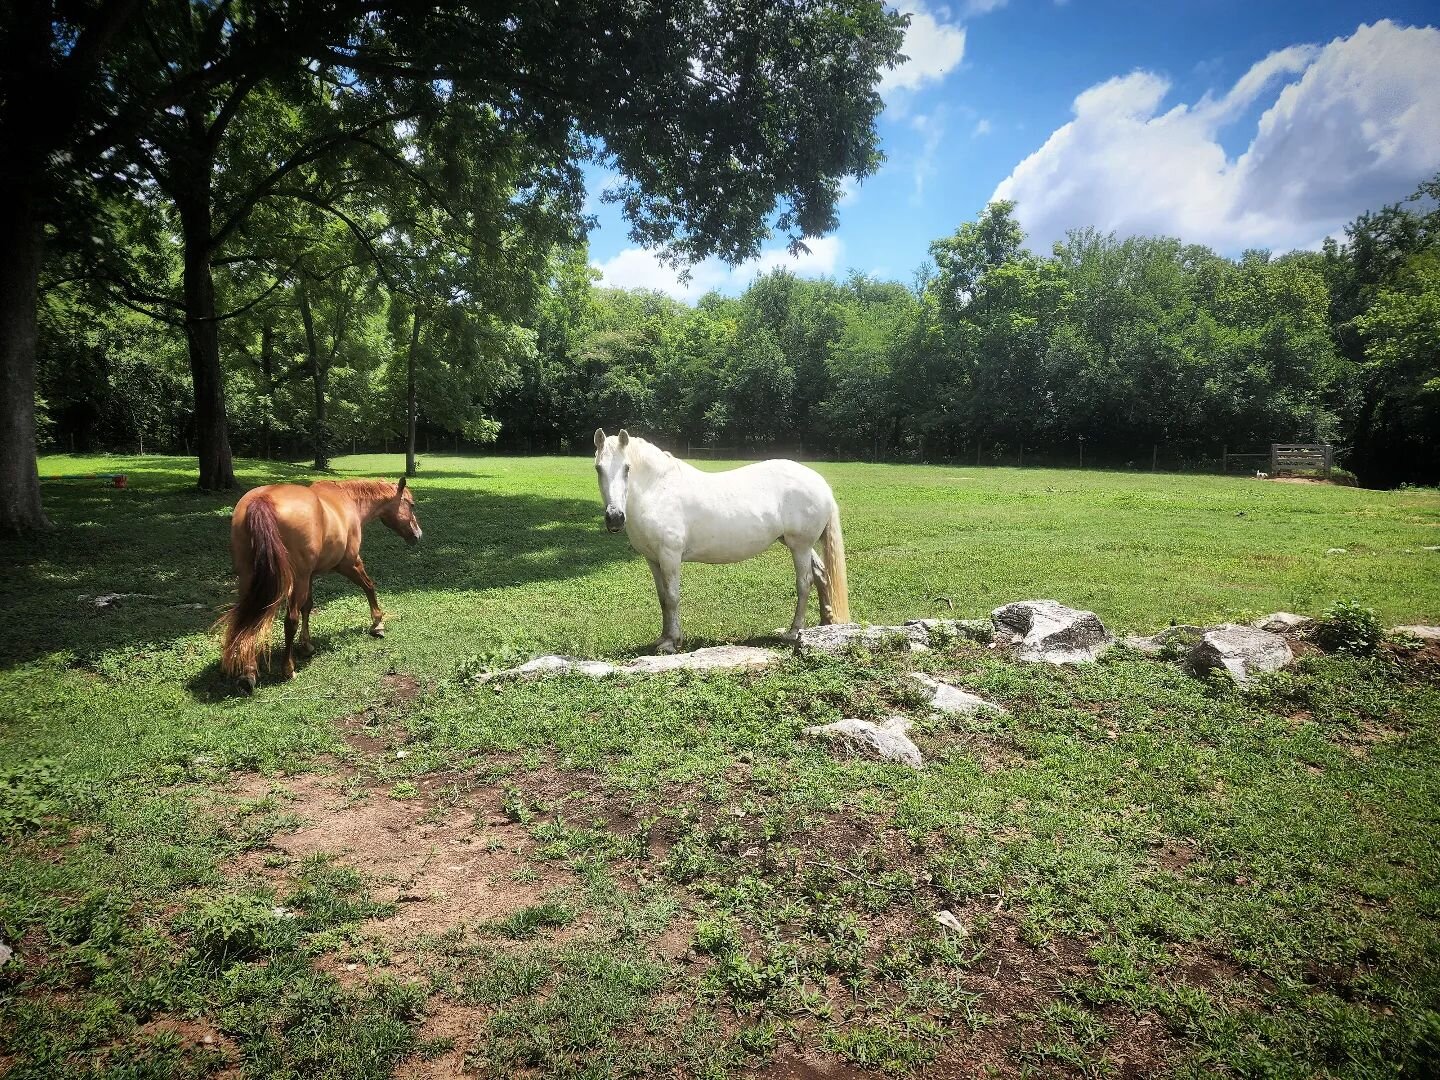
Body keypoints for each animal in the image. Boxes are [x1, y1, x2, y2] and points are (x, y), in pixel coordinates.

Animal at [218, 480, 420, 694]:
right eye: (411, 505)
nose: (418, 534)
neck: (349, 500)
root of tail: (263, 500)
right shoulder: (349, 564)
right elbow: (369, 587)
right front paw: (377, 623)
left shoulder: (311, 575)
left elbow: (308, 606)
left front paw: (306, 644)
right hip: (296, 579)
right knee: (289, 620)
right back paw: (288, 669)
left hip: (250, 579)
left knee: (250, 620)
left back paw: (248, 673)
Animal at [593, 429, 846, 650]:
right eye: (598, 468)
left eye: (627, 468)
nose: (615, 518)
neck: (657, 489)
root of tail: (820, 482)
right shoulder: (653, 560)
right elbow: (663, 598)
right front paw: (663, 638)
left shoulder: (670, 557)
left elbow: (673, 597)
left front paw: (672, 642)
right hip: (800, 544)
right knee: (821, 575)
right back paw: (825, 625)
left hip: (800, 546)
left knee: (805, 582)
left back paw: (793, 632)